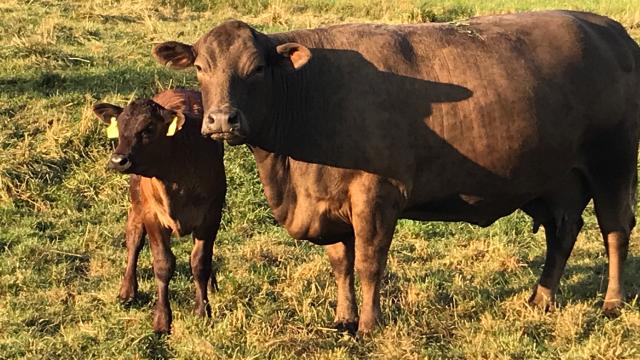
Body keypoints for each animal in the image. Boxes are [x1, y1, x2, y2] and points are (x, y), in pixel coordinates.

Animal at [93, 88, 225, 334]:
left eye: (149, 129)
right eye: (120, 127)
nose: (118, 160)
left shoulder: (211, 214)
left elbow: (200, 262)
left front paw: (202, 310)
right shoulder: (152, 216)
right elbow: (163, 264)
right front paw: (162, 320)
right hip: (137, 204)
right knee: (133, 240)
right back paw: (127, 291)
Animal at [152, 10, 636, 332]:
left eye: (255, 69)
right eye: (201, 67)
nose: (221, 120)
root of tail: (609, 29)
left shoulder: (376, 196)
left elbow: (369, 263)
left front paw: (368, 323)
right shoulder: (332, 201)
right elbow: (341, 263)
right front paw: (343, 317)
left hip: (612, 162)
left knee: (615, 229)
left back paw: (612, 302)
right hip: (558, 181)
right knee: (563, 232)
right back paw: (541, 297)